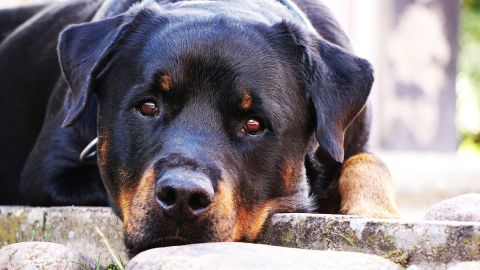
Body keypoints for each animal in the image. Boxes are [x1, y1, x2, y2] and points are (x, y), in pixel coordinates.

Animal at [0, 0, 398, 256]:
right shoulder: (50, 174)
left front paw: (375, 210)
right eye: (148, 106)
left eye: (254, 123)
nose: (182, 196)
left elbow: (369, 161)